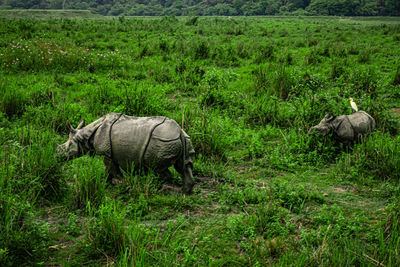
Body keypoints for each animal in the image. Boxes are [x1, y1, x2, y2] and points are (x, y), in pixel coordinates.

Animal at [57, 113, 195, 195]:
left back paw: (156, 189)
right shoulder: (109, 154)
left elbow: (112, 170)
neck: (85, 135)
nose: (57, 155)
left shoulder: (107, 153)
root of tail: (179, 132)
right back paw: (185, 192)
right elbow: (108, 171)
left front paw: (122, 183)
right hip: (183, 139)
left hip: (162, 141)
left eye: (69, 145)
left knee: (157, 168)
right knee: (184, 165)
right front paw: (106, 184)